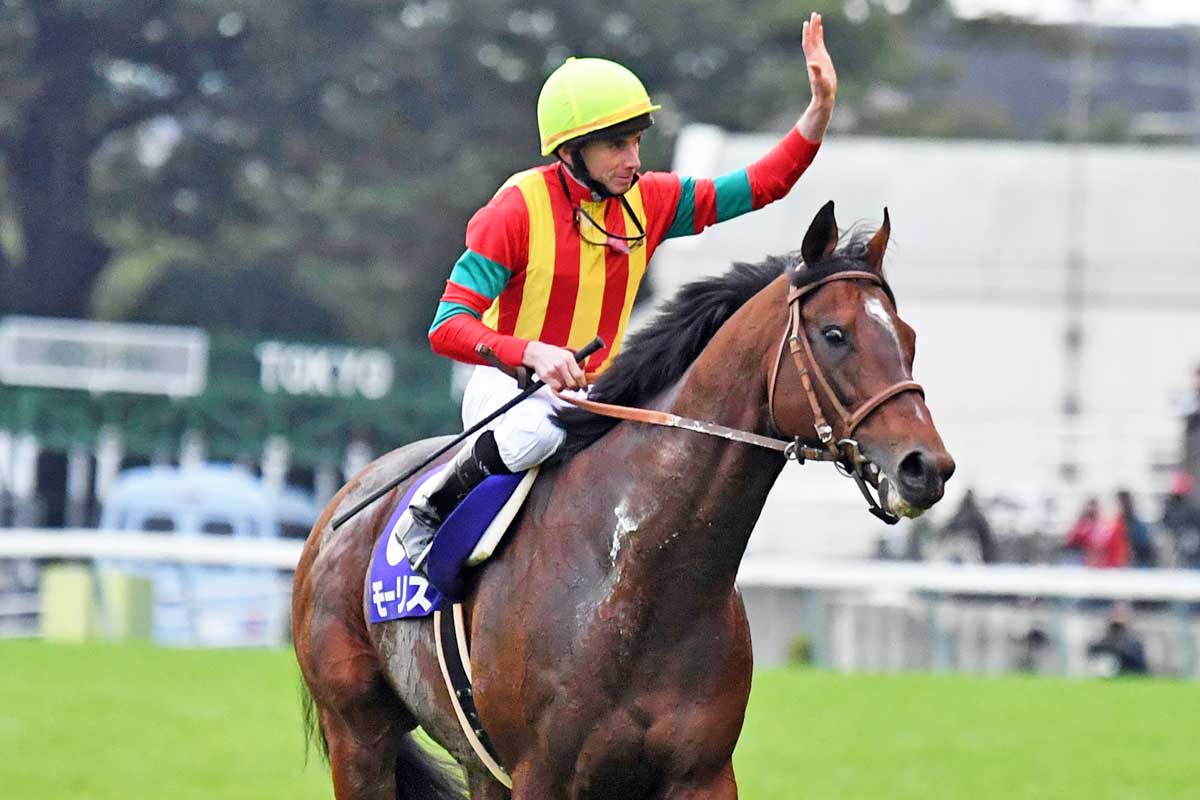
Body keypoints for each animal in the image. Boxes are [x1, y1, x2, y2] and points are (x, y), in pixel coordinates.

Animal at [293, 200, 955, 799]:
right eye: (835, 334)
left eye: (908, 337)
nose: (927, 467)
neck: (639, 572)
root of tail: (340, 503)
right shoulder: (542, 774)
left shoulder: (701, 774)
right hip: (358, 732)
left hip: (476, 760)